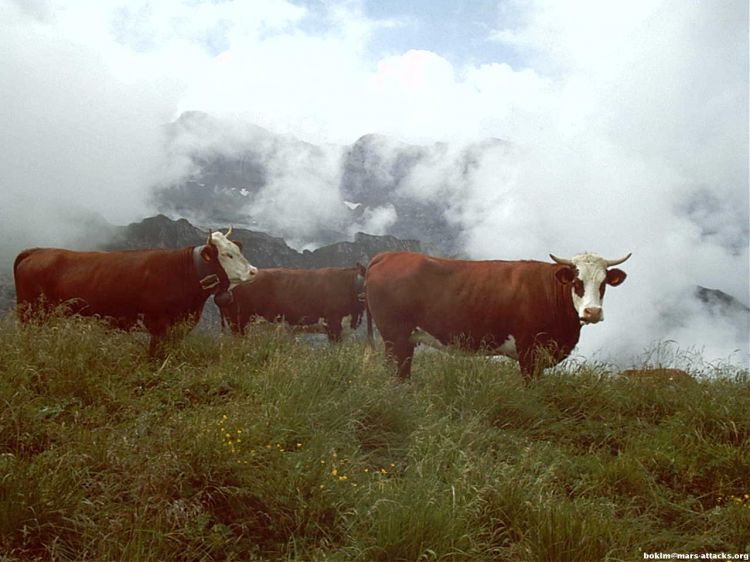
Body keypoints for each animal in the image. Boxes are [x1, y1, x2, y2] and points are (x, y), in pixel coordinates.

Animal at [11, 224, 258, 352]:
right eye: (227, 254)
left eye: (238, 250)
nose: (254, 271)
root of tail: (37, 251)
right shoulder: (158, 325)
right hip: (30, 313)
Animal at [364, 250, 628, 378]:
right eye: (576, 281)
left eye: (603, 283)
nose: (592, 312)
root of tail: (387, 255)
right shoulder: (529, 351)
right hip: (394, 336)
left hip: (406, 340)